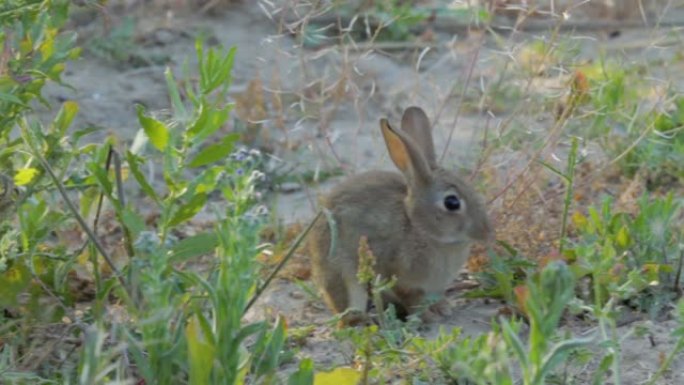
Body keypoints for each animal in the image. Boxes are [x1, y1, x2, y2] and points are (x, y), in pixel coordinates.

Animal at [308, 106, 492, 324]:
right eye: (452, 203)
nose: (487, 232)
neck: (420, 228)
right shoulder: (400, 278)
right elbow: (412, 300)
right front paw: (427, 316)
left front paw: (442, 308)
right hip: (345, 276)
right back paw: (361, 321)